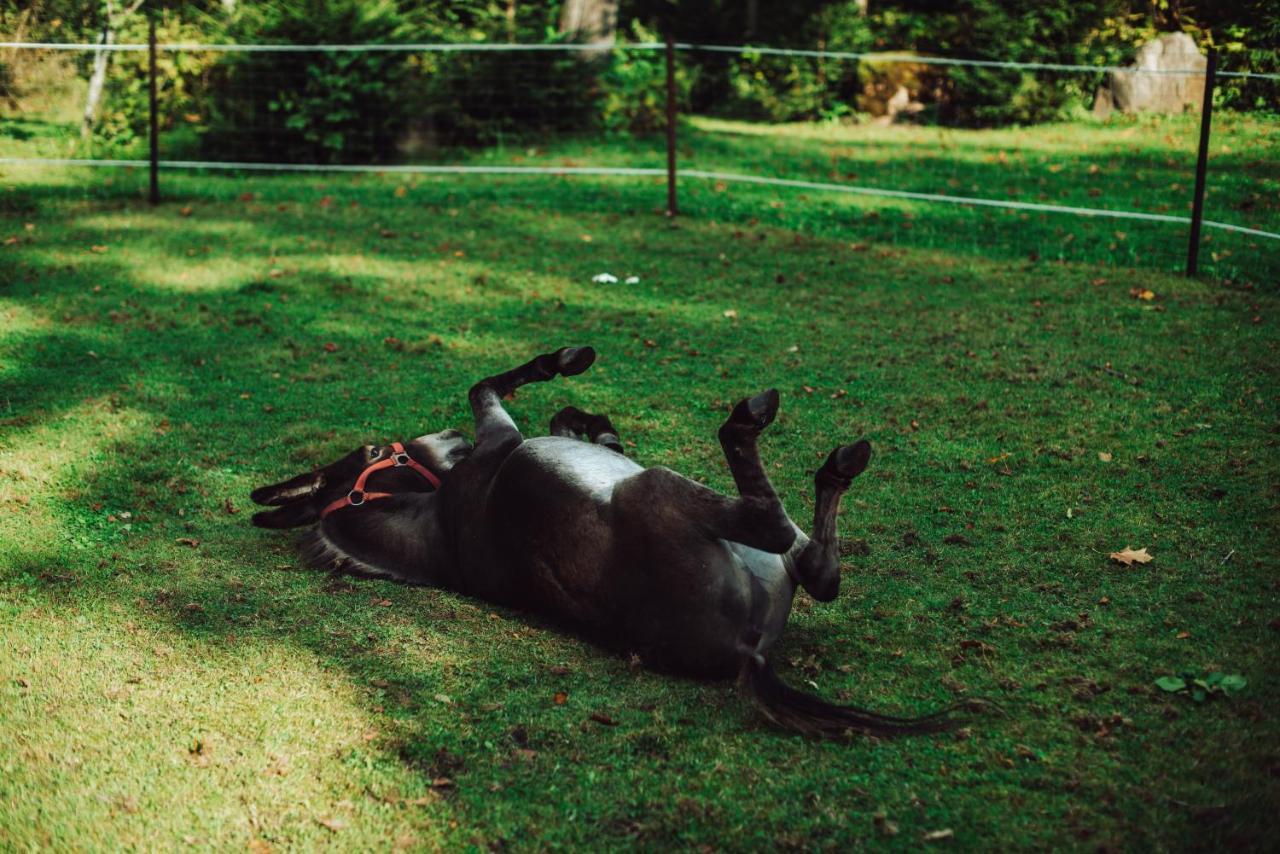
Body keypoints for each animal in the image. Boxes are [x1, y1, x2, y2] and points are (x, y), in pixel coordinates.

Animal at [249, 348, 972, 737]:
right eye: (376, 452)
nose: (447, 439)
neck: (442, 522)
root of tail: (750, 653)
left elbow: (568, 418)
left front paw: (590, 417)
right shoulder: (500, 433)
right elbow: (484, 384)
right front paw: (568, 368)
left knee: (812, 561)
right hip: (670, 494)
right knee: (783, 531)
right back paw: (763, 427)